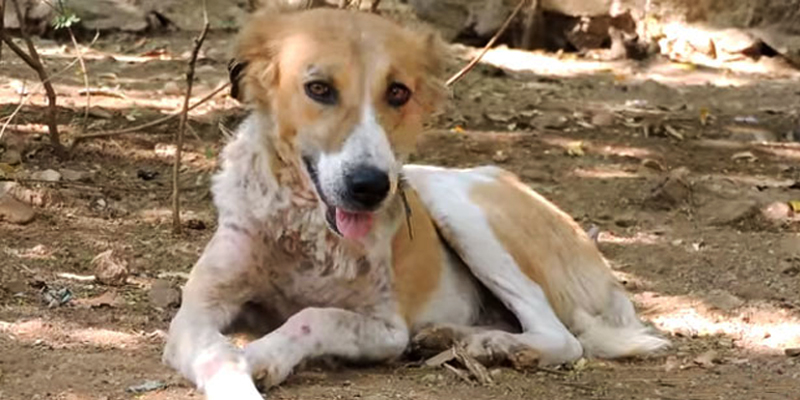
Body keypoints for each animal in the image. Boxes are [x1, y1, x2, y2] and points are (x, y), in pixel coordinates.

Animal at [163, 7, 669, 399]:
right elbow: (218, 354)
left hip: (459, 206)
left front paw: (262, 353)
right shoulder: (196, 312)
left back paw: (493, 347)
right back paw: (459, 338)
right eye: (319, 88)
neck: (306, 233)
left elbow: (314, 316)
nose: (370, 187)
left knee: (562, 338)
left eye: (398, 92)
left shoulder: (387, 328)